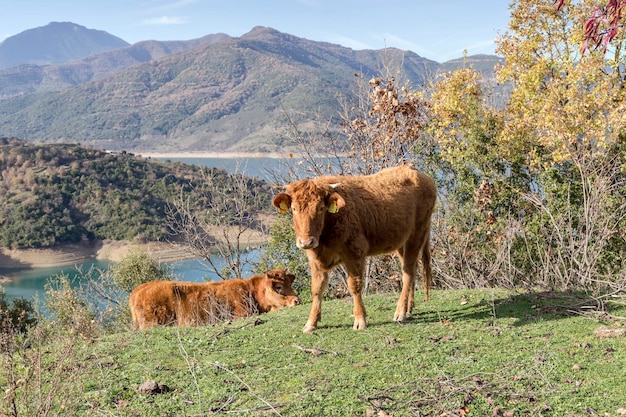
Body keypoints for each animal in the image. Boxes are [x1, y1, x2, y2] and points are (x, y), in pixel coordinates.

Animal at [129, 266, 300, 328]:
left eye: (290, 284)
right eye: (278, 287)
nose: (297, 300)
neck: (250, 291)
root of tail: (138, 289)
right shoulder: (241, 314)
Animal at [270, 165, 436, 332]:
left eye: (320, 208)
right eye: (294, 208)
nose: (306, 242)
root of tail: (414, 170)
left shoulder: (354, 252)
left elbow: (354, 286)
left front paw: (360, 320)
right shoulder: (314, 259)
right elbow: (317, 288)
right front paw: (311, 323)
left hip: (417, 233)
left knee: (408, 272)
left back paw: (400, 312)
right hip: (402, 241)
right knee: (411, 269)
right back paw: (408, 309)